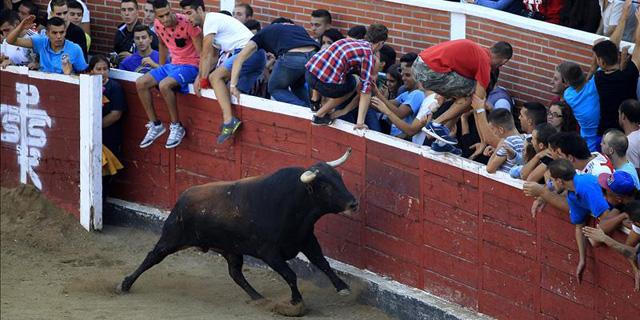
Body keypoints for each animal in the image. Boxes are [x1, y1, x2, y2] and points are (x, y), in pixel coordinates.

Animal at [117, 149, 358, 316]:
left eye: (339, 178)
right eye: (325, 186)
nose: (353, 203)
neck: (294, 204)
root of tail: (182, 198)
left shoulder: (307, 239)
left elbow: (322, 262)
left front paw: (343, 288)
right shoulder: (269, 252)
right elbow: (290, 274)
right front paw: (296, 303)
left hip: (231, 250)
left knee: (235, 274)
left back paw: (258, 298)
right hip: (172, 238)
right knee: (152, 257)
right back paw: (124, 285)